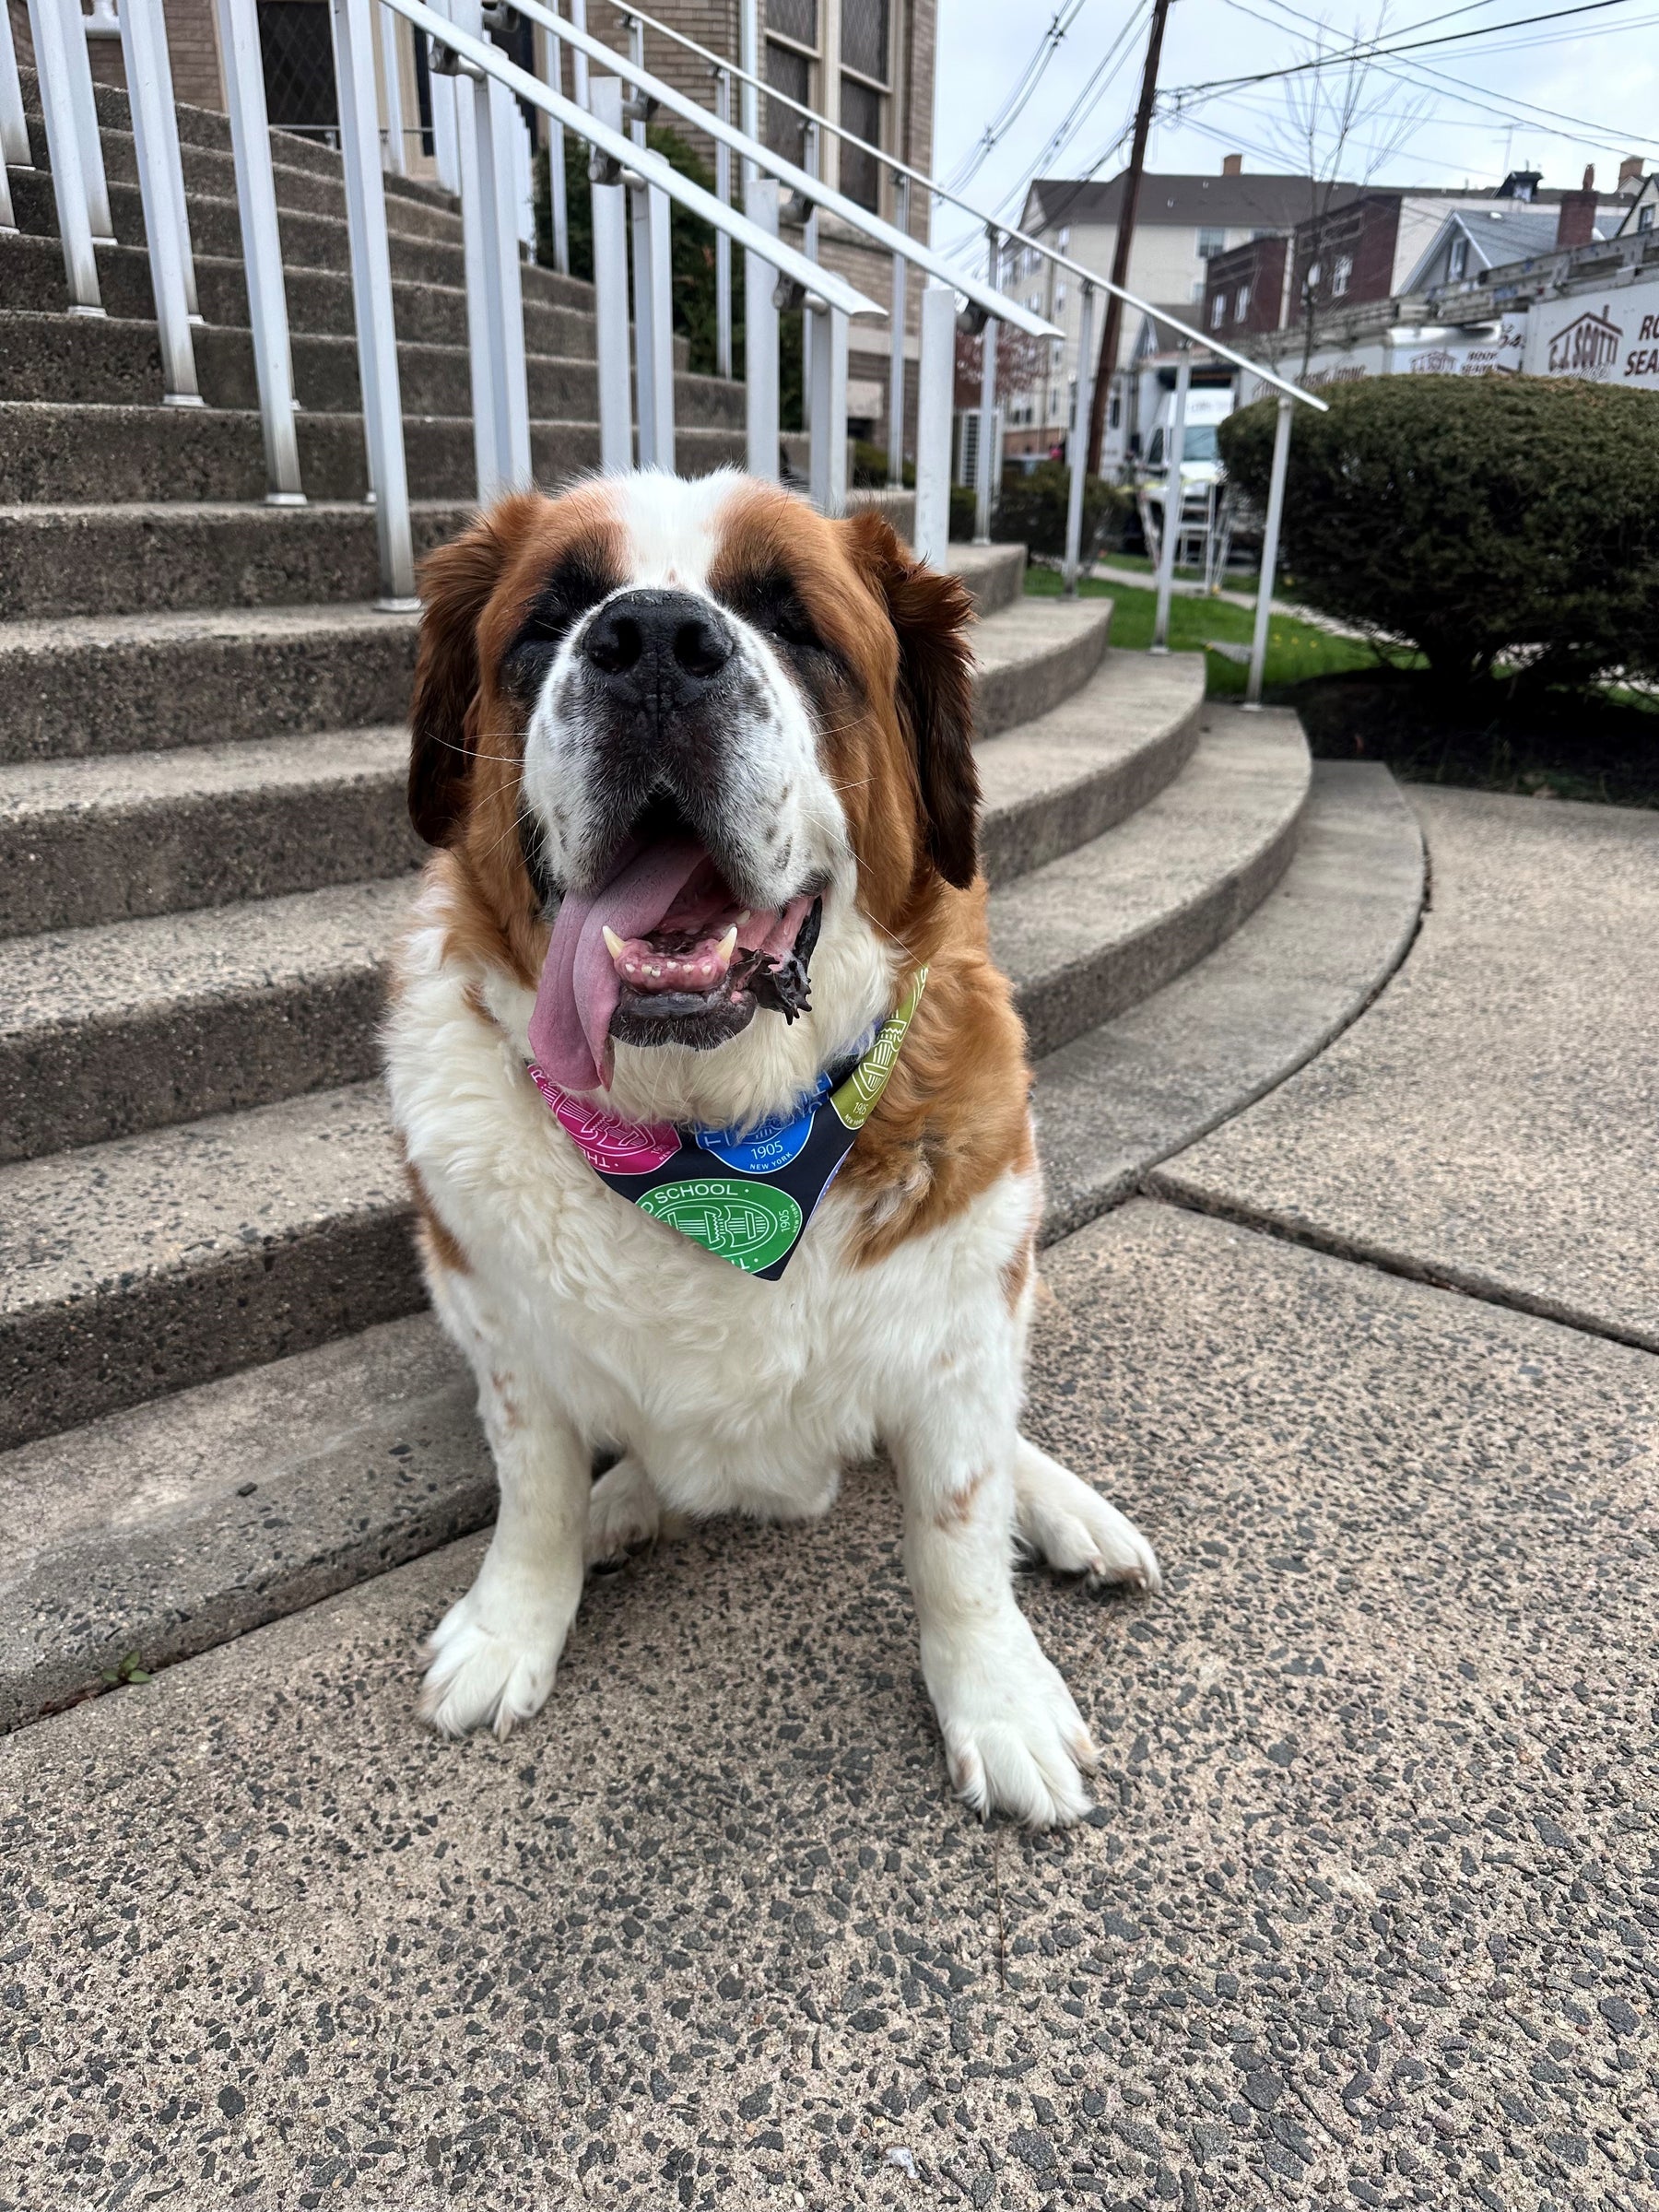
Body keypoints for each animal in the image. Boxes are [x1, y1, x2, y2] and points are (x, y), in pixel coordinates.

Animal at [387, 471, 1168, 1831]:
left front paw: (998, 1696)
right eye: (550, 616)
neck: (717, 1144)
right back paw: (627, 1505)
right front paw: (511, 1624)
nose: (650, 640)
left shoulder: (963, 1314)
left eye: (792, 620)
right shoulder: (502, 1335)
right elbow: (533, 1491)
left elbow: (956, 1528)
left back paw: (1067, 1511)